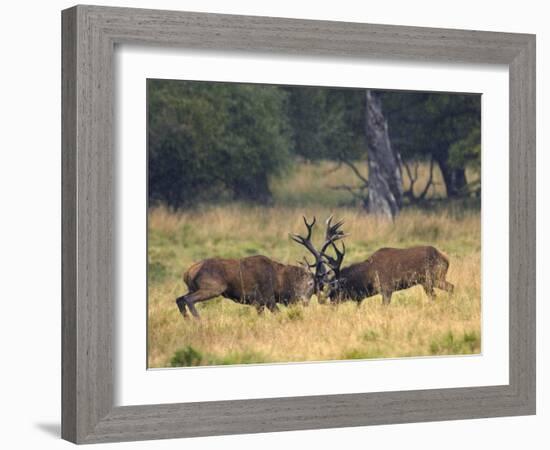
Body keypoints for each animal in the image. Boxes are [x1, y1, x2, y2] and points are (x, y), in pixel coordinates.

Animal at [177, 216, 342, 318]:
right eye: (311, 283)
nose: (304, 301)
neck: (280, 282)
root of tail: (188, 272)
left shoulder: (259, 303)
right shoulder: (267, 297)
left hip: (193, 287)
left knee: (180, 299)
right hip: (213, 287)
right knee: (188, 299)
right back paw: (199, 321)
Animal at [324, 239, 458, 306]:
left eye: (337, 287)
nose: (331, 301)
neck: (369, 276)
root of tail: (446, 259)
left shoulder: (387, 289)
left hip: (432, 279)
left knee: (447, 289)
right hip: (429, 281)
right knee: (448, 289)